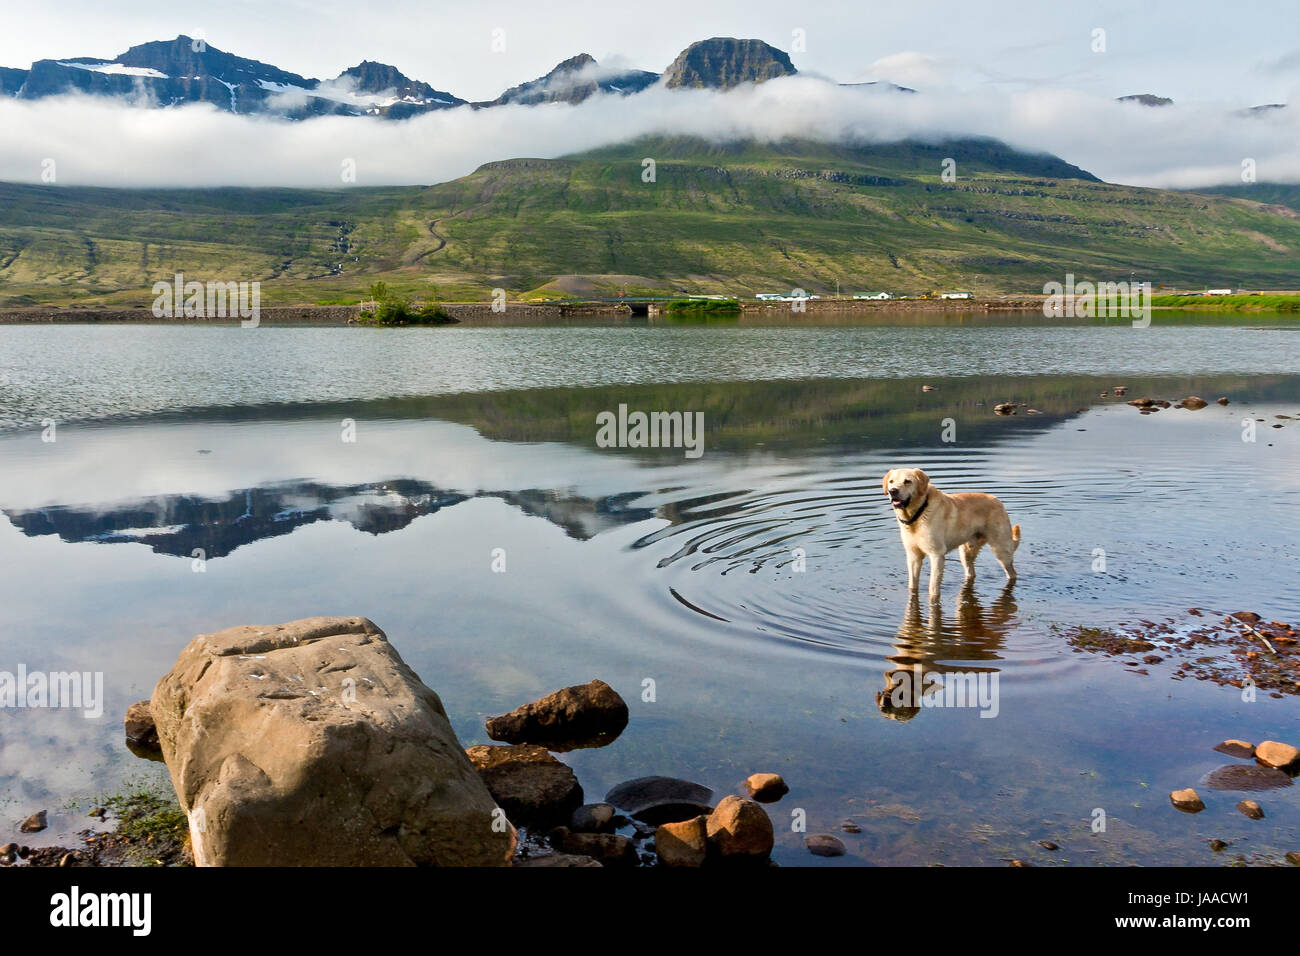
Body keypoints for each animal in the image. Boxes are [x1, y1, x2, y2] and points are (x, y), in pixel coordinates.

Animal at [878, 468, 1019, 600]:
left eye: (907, 481)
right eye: (891, 481)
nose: (892, 491)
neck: (919, 513)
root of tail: (997, 500)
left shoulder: (937, 555)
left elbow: (933, 588)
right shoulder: (913, 555)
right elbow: (912, 584)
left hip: (1001, 550)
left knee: (1012, 573)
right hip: (966, 552)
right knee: (971, 572)